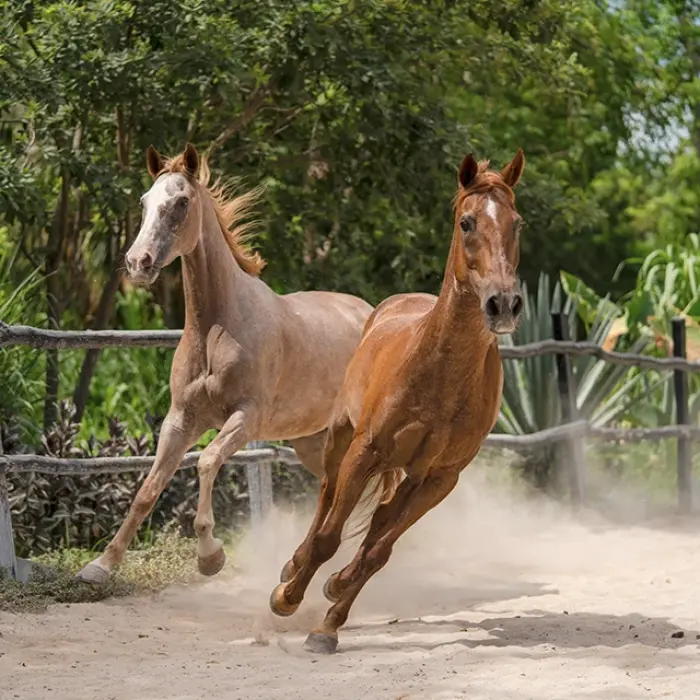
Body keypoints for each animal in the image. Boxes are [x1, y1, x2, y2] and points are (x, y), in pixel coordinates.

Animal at [77, 143, 375, 584]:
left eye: (181, 202)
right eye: (145, 201)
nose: (138, 262)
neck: (215, 330)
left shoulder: (245, 418)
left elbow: (207, 462)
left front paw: (210, 555)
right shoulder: (180, 420)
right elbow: (147, 490)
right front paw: (100, 565)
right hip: (313, 440)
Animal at [268, 150, 526, 654]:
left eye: (517, 223)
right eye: (467, 222)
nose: (503, 304)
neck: (438, 374)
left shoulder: (440, 478)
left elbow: (378, 552)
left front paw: (329, 620)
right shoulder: (365, 451)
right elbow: (330, 537)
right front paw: (288, 598)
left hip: (410, 475)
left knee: (378, 524)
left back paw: (333, 585)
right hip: (340, 441)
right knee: (326, 499)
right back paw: (293, 569)